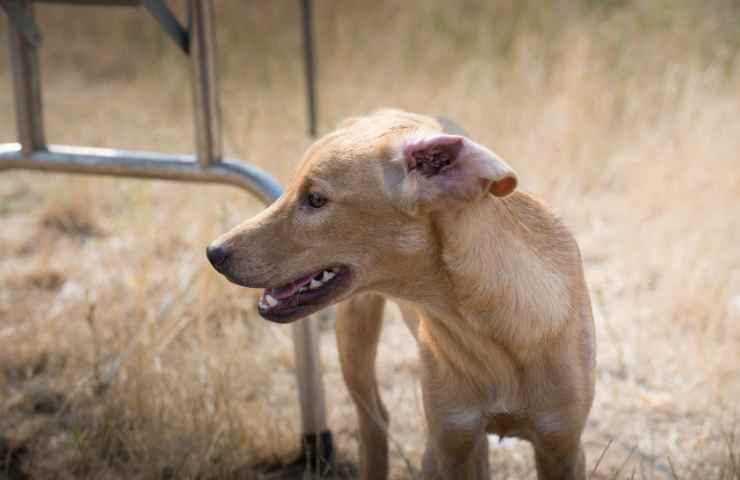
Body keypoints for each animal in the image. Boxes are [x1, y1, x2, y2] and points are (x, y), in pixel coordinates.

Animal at [207, 109, 596, 480]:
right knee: (374, 421)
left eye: (316, 199)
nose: (213, 253)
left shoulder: (562, 447)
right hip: (356, 341)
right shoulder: (446, 444)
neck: (489, 330)